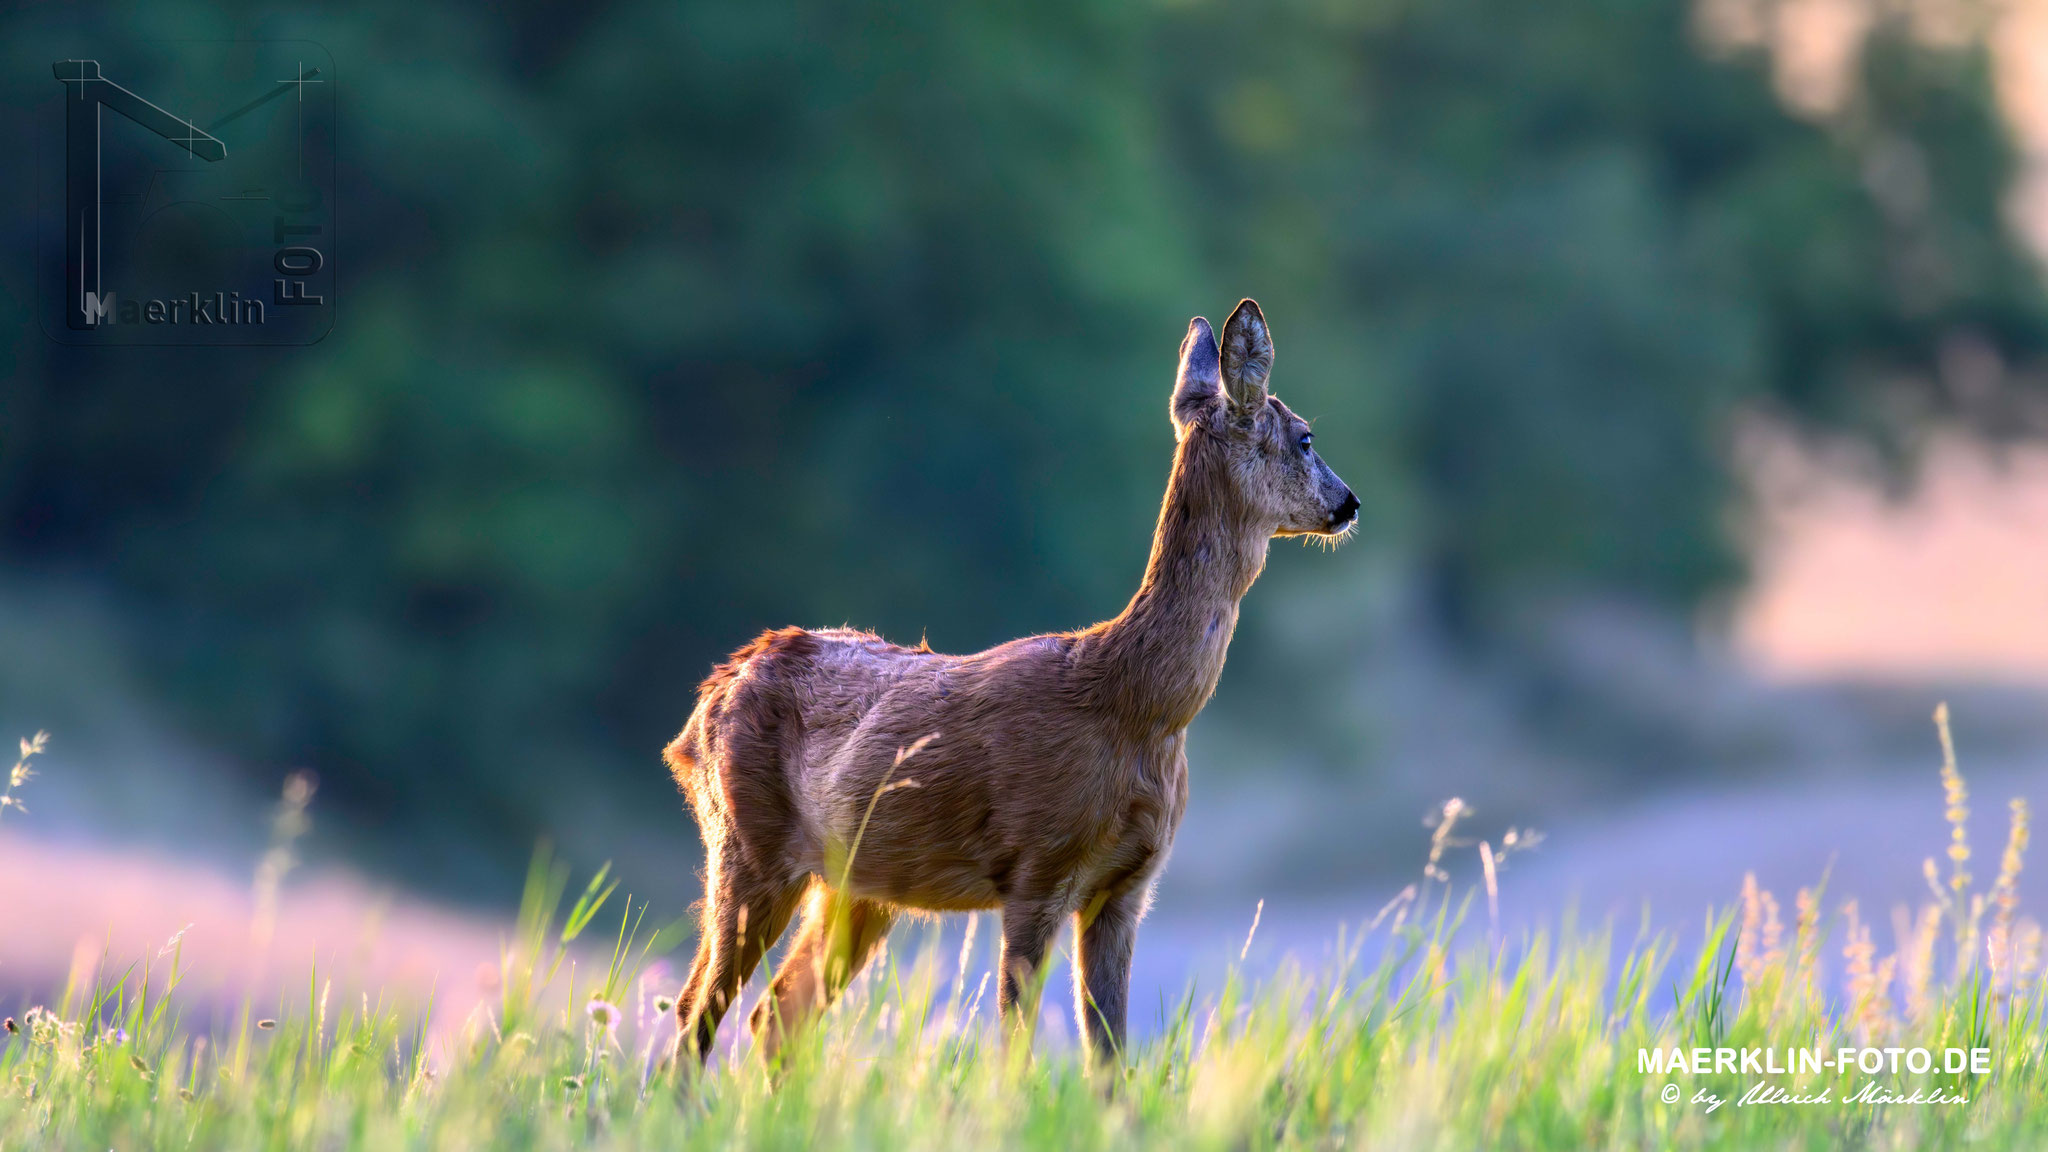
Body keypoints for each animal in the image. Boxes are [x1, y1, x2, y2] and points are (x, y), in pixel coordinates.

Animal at [661, 299, 1357, 1076]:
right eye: (1306, 437)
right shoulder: (1036, 866)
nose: (1349, 503)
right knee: (696, 1012)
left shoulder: (1128, 887)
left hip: (859, 883)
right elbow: (1013, 1049)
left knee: (776, 1014)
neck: (1134, 707)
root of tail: (702, 706)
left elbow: (1110, 1058)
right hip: (744, 840)